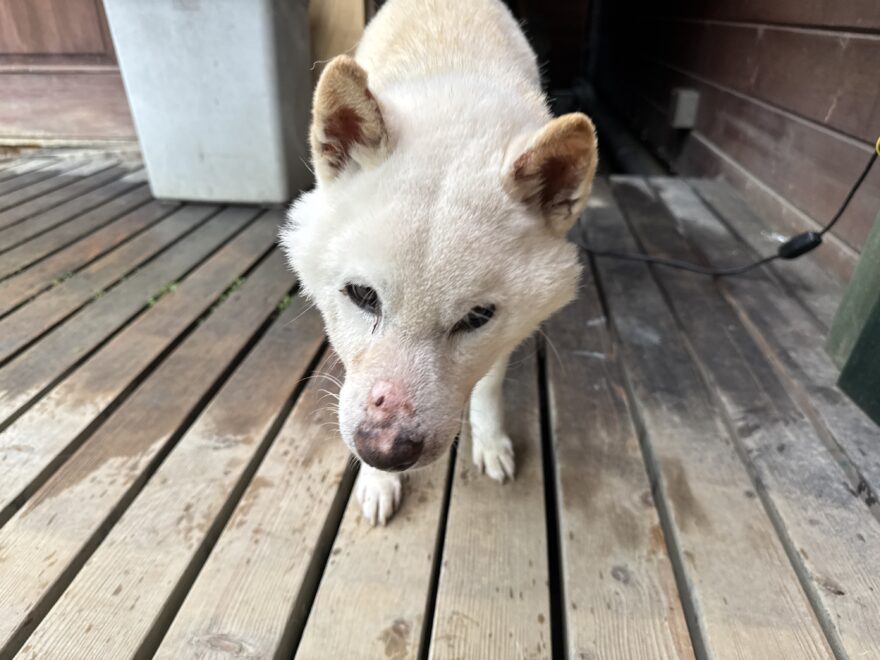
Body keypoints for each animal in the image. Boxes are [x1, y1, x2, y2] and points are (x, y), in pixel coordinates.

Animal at [281, 0, 597, 524]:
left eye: (476, 317)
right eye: (362, 296)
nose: (384, 452)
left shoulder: (507, 329)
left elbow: (488, 385)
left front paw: (490, 441)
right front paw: (378, 483)